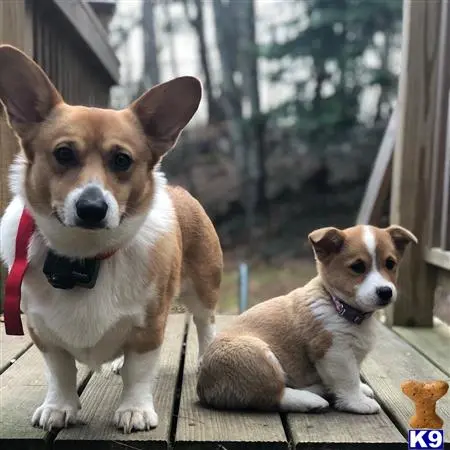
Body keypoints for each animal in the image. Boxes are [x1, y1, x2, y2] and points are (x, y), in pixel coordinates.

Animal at [0, 44, 223, 432]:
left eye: (122, 160)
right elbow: (60, 372)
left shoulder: (150, 326)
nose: (92, 208)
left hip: (203, 289)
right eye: (63, 154)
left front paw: (134, 410)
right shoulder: (44, 333)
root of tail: (180, 190)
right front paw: (59, 407)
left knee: (205, 323)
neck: (85, 257)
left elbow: (139, 373)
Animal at [199, 225, 416, 414]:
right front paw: (357, 402)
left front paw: (360, 390)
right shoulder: (335, 352)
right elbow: (348, 379)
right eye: (357, 267)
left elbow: (354, 374)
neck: (338, 306)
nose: (385, 292)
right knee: (272, 395)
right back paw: (311, 400)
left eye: (390, 264)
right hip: (256, 356)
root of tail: (204, 388)